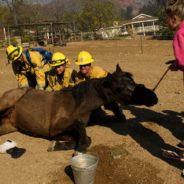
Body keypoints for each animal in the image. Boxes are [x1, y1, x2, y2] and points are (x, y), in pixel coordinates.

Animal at [0, 64, 158, 152]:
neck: (77, 104)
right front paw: (77, 148)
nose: (154, 98)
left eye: (133, 82)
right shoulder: (56, 128)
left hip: (7, 126)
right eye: (120, 88)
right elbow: (85, 135)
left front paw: (57, 145)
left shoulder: (59, 133)